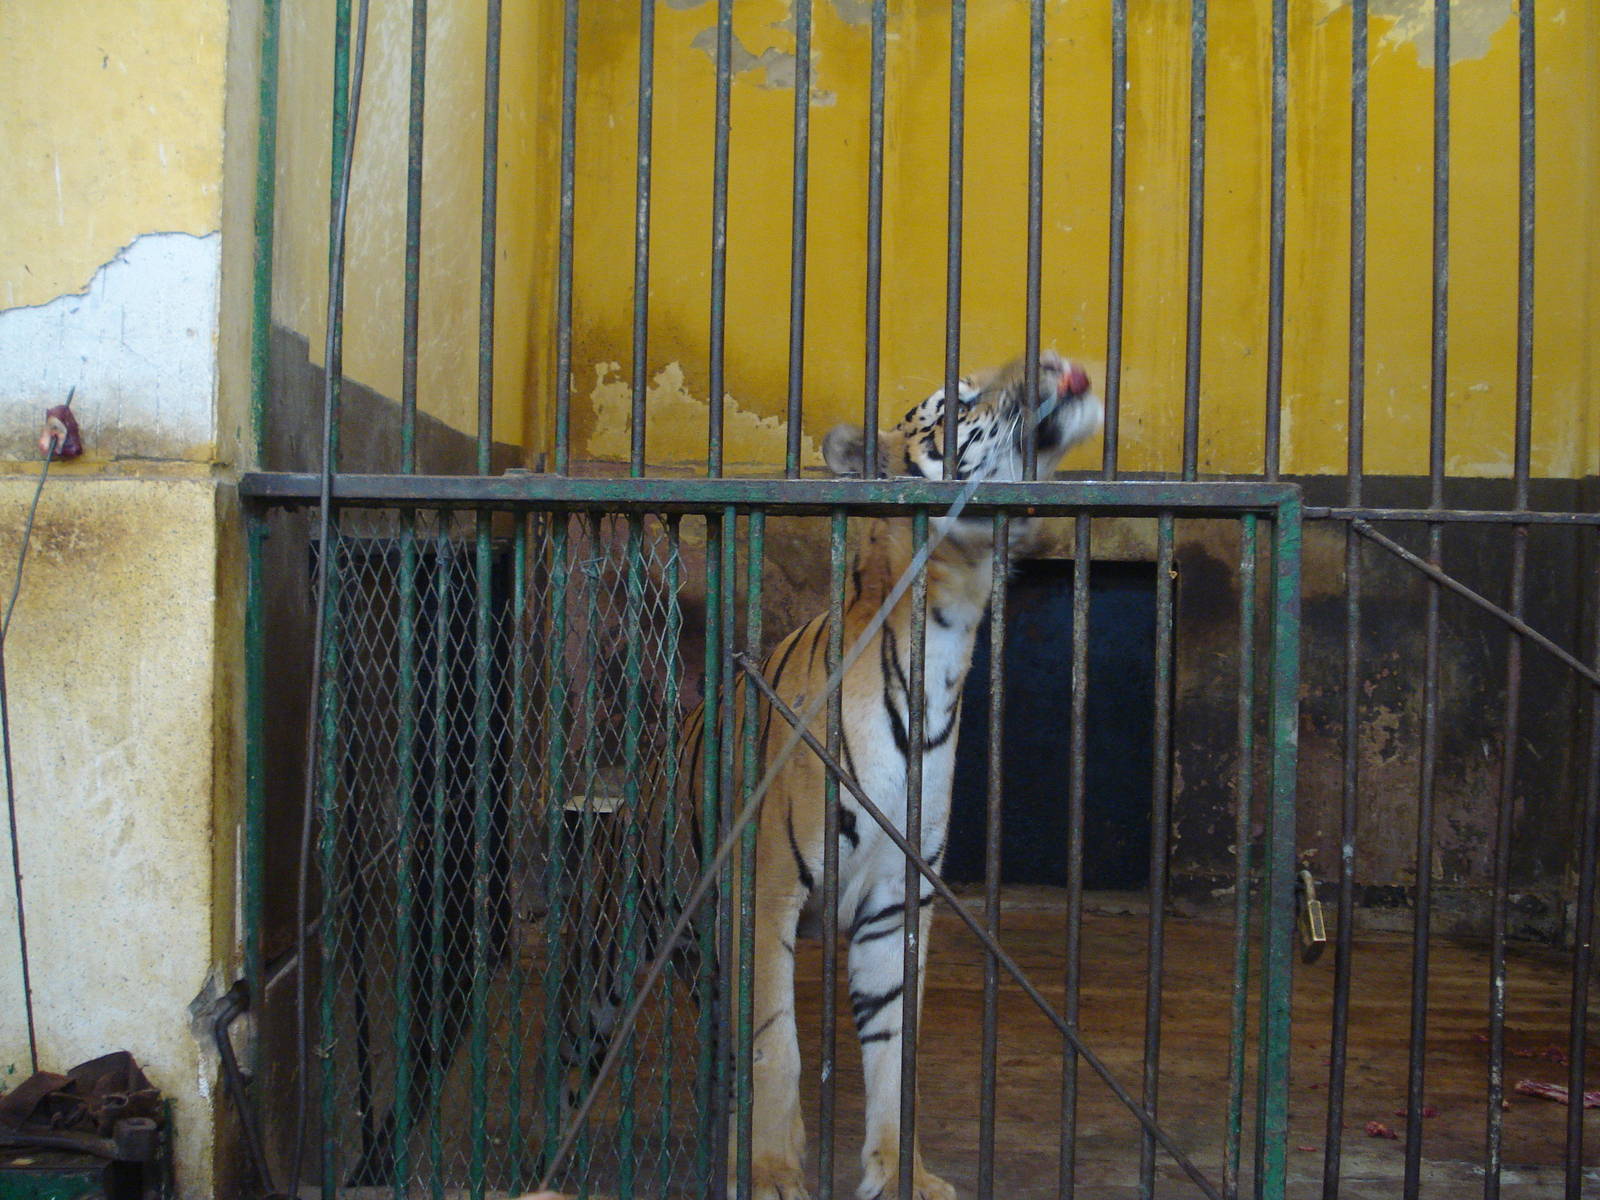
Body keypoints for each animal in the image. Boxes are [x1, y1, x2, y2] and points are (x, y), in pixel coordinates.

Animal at [568, 350, 1101, 1200]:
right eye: (958, 399)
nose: (1055, 362)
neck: (945, 638)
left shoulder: (896, 900)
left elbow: (892, 1050)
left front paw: (900, 1171)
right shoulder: (767, 890)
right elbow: (775, 1043)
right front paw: (773, 1174)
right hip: (615, 946)